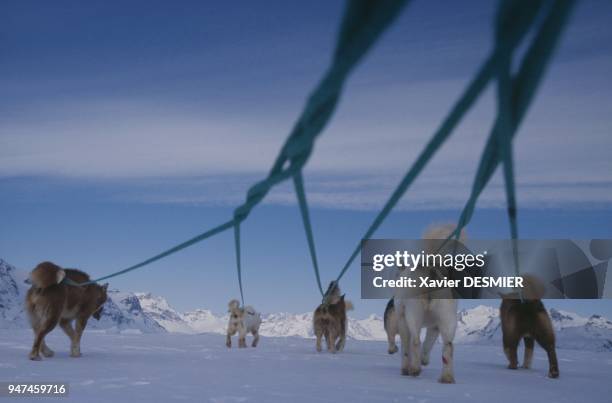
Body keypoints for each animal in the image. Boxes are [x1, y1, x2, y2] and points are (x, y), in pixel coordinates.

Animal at [392, 226, 464, 384]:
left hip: (414, 314)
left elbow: (406, 348)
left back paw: (414, 369)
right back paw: (446, 377)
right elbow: (427, 345)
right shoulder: (434, 326)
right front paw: (424, 360)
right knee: (448, 347)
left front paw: (406, 368)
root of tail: (431, 269)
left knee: (416, 341)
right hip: (448, 319)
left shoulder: (402, 321)